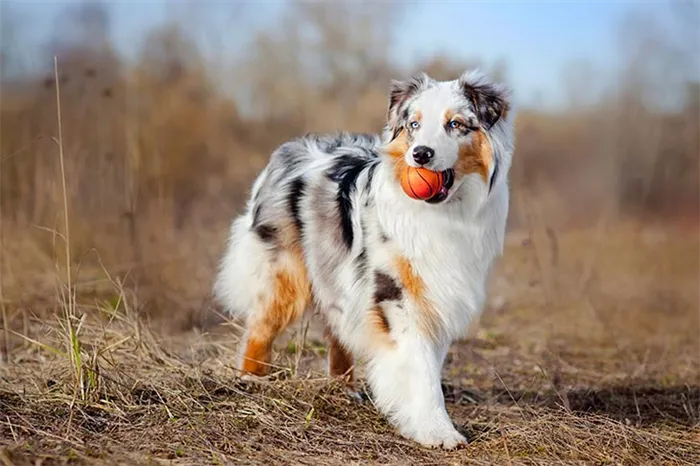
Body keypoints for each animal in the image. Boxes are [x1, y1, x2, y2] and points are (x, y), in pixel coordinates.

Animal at [213, 68, 516, 448]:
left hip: (336, 275)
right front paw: (437, 431)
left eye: (456, 124)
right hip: (285, 273)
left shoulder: (437, 294)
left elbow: (428, 364)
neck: (444, 213)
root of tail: (289, 149)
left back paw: (344, 390)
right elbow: (421, 369)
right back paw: (251, 380)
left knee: (336, 330)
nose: (420, 154)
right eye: (414, 124)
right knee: (260, 327)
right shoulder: (395, 295)